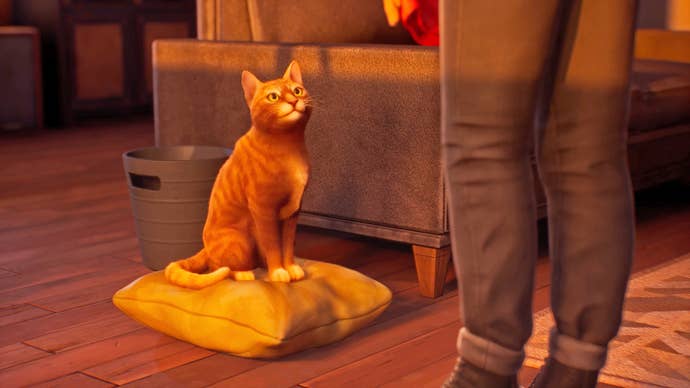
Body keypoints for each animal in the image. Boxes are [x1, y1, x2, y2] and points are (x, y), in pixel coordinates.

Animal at [165, 60, 310, 290]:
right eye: (273, 97)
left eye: (297, 90)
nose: (294, 100)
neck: (288, 146)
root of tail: (205, 247)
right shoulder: (263, 210)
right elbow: (273, 245)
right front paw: (278, 271)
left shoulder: (293, 211)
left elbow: (288, 244)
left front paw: (290, 267)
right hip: (241, 240)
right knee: (220, 267)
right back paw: (243, 273)